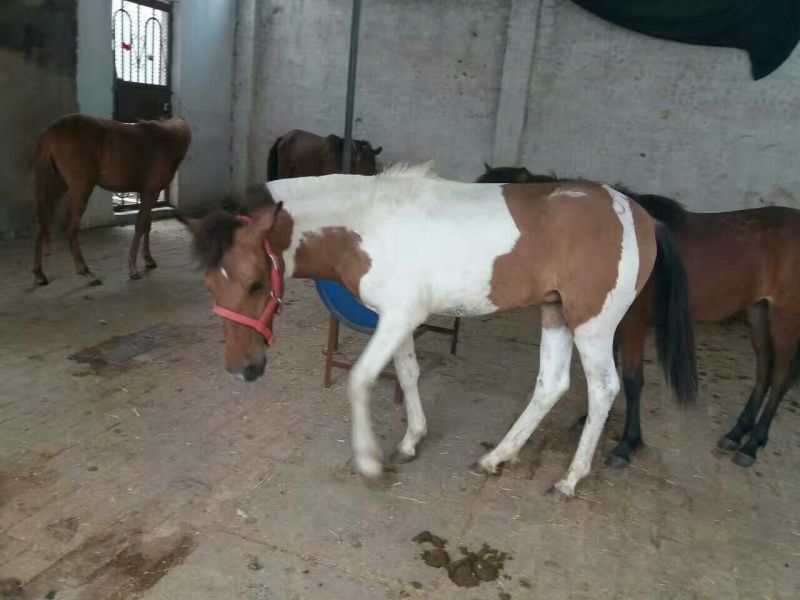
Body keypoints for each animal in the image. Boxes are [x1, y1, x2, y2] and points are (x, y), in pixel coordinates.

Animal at [33, 113, 191, 285]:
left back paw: (39, 273)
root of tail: (50, 132)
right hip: (81, 189)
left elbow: (147, 225)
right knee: (70, 229)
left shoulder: (147, 193)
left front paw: (148, 259)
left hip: (57, 186)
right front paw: (133, 268)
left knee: (43, 221)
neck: (168, 140)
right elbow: (140, 226)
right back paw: (86, 272)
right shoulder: (151, 192)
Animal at [182, 164, 696, 499]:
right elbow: (408, 374)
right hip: (556, 313)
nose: (243, 370)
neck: (366, 221)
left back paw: (571, 479)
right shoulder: (398, 318)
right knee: (552, 385)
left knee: (604, 389)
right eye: (210, 283)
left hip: (592, 324)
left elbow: (360, 381)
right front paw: (412, 439)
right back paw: (498, 457)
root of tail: (641, 214)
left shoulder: (396, 317)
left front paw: (370, 461)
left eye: (254, 283)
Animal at [480, 165, 800, 468]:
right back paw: (737, 433)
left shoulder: (632, 323)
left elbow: (632, 379)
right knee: (764, 374)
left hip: (785, 320)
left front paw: (626, 444)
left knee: (781, 378)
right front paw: (593, 421)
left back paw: (752, 445)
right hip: (758, 313)